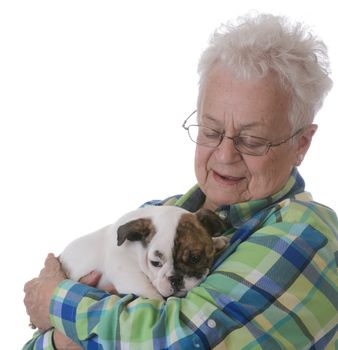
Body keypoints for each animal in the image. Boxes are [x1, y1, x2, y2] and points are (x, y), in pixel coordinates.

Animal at [59, 206, 228, 300]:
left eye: (195, 258)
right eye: (155, 263)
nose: (175, 279)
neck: (137, 250)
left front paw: (217, 241)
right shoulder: (130, 276)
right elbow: (153, 296)